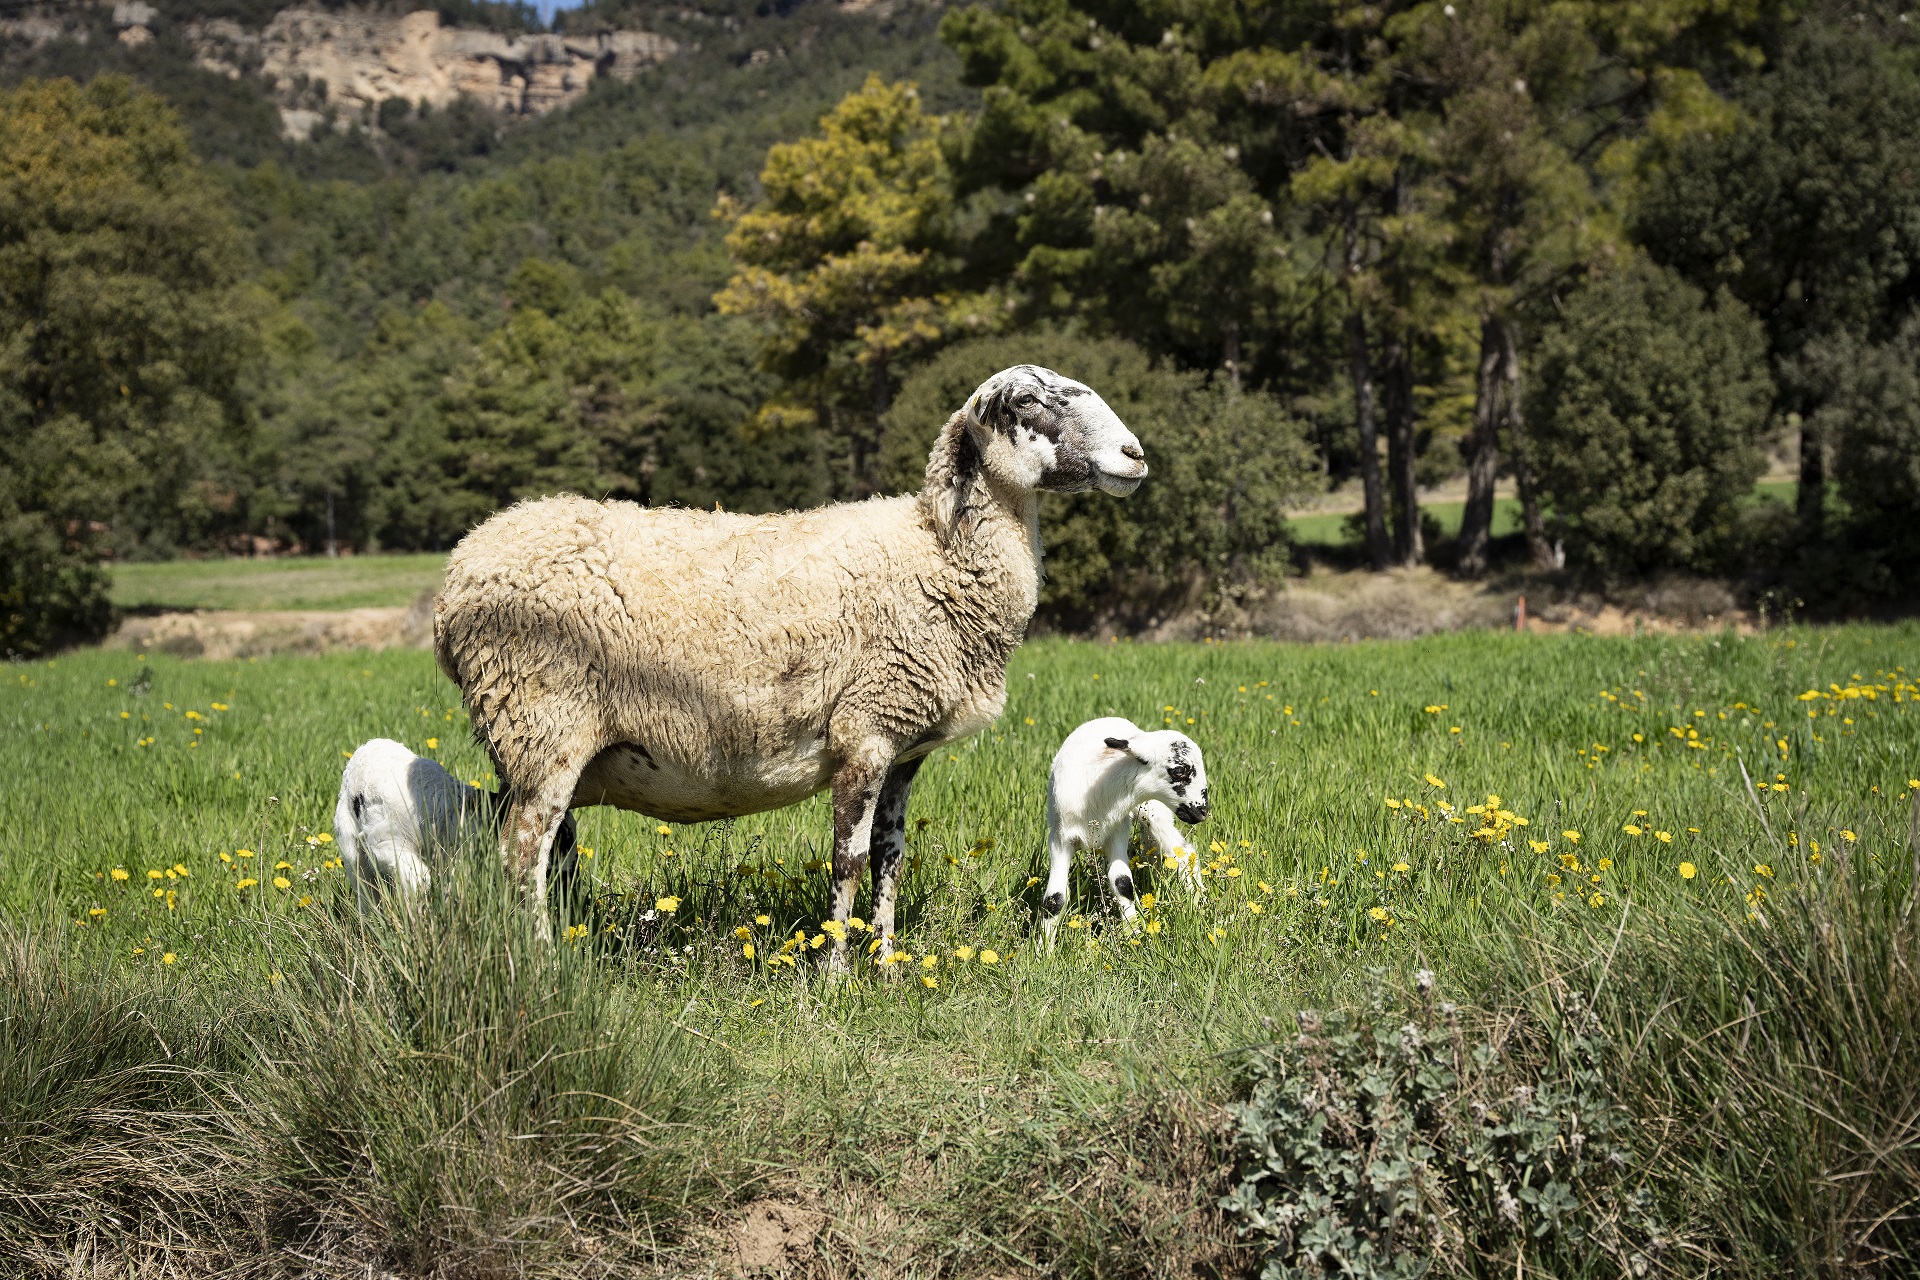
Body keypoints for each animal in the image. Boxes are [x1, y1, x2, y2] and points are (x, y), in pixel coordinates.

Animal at [332, 740, 576, 909]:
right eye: (561, 842)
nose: (571, 876)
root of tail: (364, 748)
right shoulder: (386, 842)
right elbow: (419, 881)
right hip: (352, 847)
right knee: (366, 893)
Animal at [435, 364, 1144, 967]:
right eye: (1025, 401)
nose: (1136, 455)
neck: (937, 554)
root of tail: (459, 574)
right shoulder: (864, 728)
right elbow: (847, 860)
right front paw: (835, 974)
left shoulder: (903, 748)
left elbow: (889, 859)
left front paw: (886, 966)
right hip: (542, 723)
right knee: (520, 856)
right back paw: (539, 964)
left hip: (526, 740)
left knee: (543, 853)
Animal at [1044, 717, 1205, 948]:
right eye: (1179, 771)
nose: (1203, 812)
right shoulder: (1059, 839)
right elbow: (1054, 899)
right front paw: (1043, 951)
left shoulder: (1118, 832)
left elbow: (1122, 883)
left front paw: (1134, 936)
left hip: (1154, 810)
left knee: (1182, 852)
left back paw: (1198, 903)